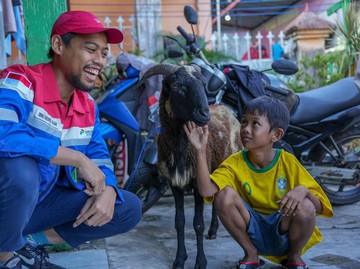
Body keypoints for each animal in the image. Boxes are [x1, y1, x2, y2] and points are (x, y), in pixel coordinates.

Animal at [138, 63, 242, 268]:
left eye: (203, 84)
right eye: (177, 86)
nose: (204, 114)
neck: (181, 147)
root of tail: (226, 110)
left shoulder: (197, 182)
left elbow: (197, 224)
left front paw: (200, 262)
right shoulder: (175, 183)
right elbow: (179, 222)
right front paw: (179, 259)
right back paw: (213, 230)